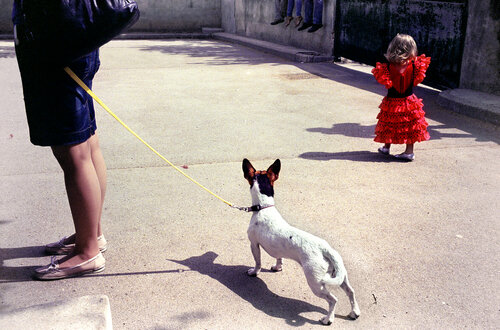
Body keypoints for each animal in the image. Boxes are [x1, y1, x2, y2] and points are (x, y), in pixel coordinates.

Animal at [242, 159, 360, 324]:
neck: (264, 207)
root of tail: (325, 249)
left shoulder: (254, 244)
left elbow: (257, 262)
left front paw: (254, 272)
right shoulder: (277, 250)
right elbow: (279, 258)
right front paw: (277, 267)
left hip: (316, 283)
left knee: (333, 300)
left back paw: (328, 319)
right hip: (340, 276)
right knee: (351, 292)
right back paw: (355, 312)